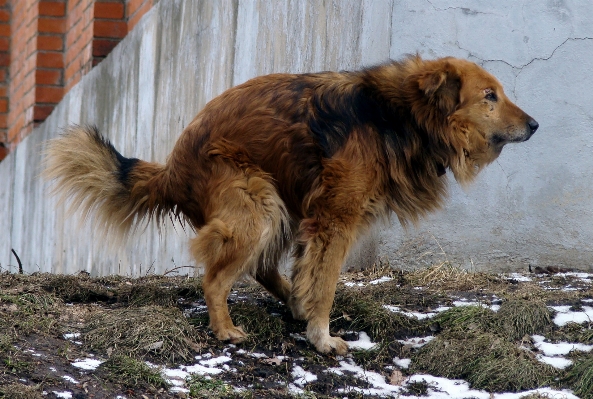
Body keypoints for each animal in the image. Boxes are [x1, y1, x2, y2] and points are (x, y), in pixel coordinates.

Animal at [44, 55, 540, 354]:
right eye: (490, 96)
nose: (536, 125)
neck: (400, 115)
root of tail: (172, 168)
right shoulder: (335, 220)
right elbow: (325, 283)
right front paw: (322, 339)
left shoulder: (316, 218)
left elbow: (310, 274)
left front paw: (308, 316)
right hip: (258, 206)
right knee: (217, 277)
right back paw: (225, 328)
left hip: (284, 205)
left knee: (264, 267)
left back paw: (289, 304)